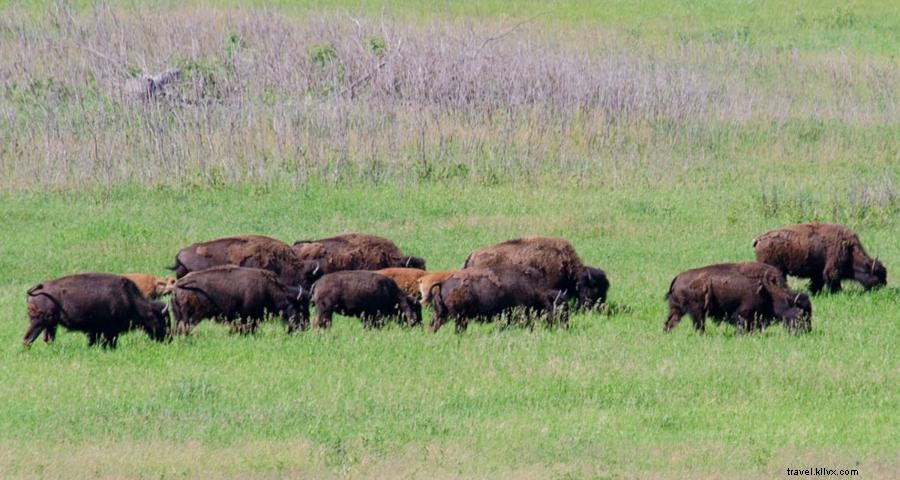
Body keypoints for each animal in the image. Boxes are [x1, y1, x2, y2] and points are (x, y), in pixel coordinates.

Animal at [24, 273, 169, 348]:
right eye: (161, 320)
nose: (169, 339)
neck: (129, 298)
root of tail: (39, 288)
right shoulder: (108, 330)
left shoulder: (96, 331)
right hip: (38, 323)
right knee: (28, 338)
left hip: (50, 325)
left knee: (47, 338)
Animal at [170, 266, 309, 334]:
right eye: (300, 307)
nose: (305, 326)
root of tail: (177, 285)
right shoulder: (249, 318)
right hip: (192, 317)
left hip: (179, 317)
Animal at [664, 262, 812, 334]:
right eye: (802, 313)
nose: (807, 330)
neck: (770, 289)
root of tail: (677, 278)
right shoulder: (744, 314)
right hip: (697, 312)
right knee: (698, 325)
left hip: (677, 309)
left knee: (670, 322)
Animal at [753, 222, 887, 294]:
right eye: (877, 275)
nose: (884, 286)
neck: (850, 249)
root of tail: (759, 239)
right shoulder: (832, 270)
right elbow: (832, 280)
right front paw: (838, 292)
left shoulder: (817, 273)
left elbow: (816, 282)